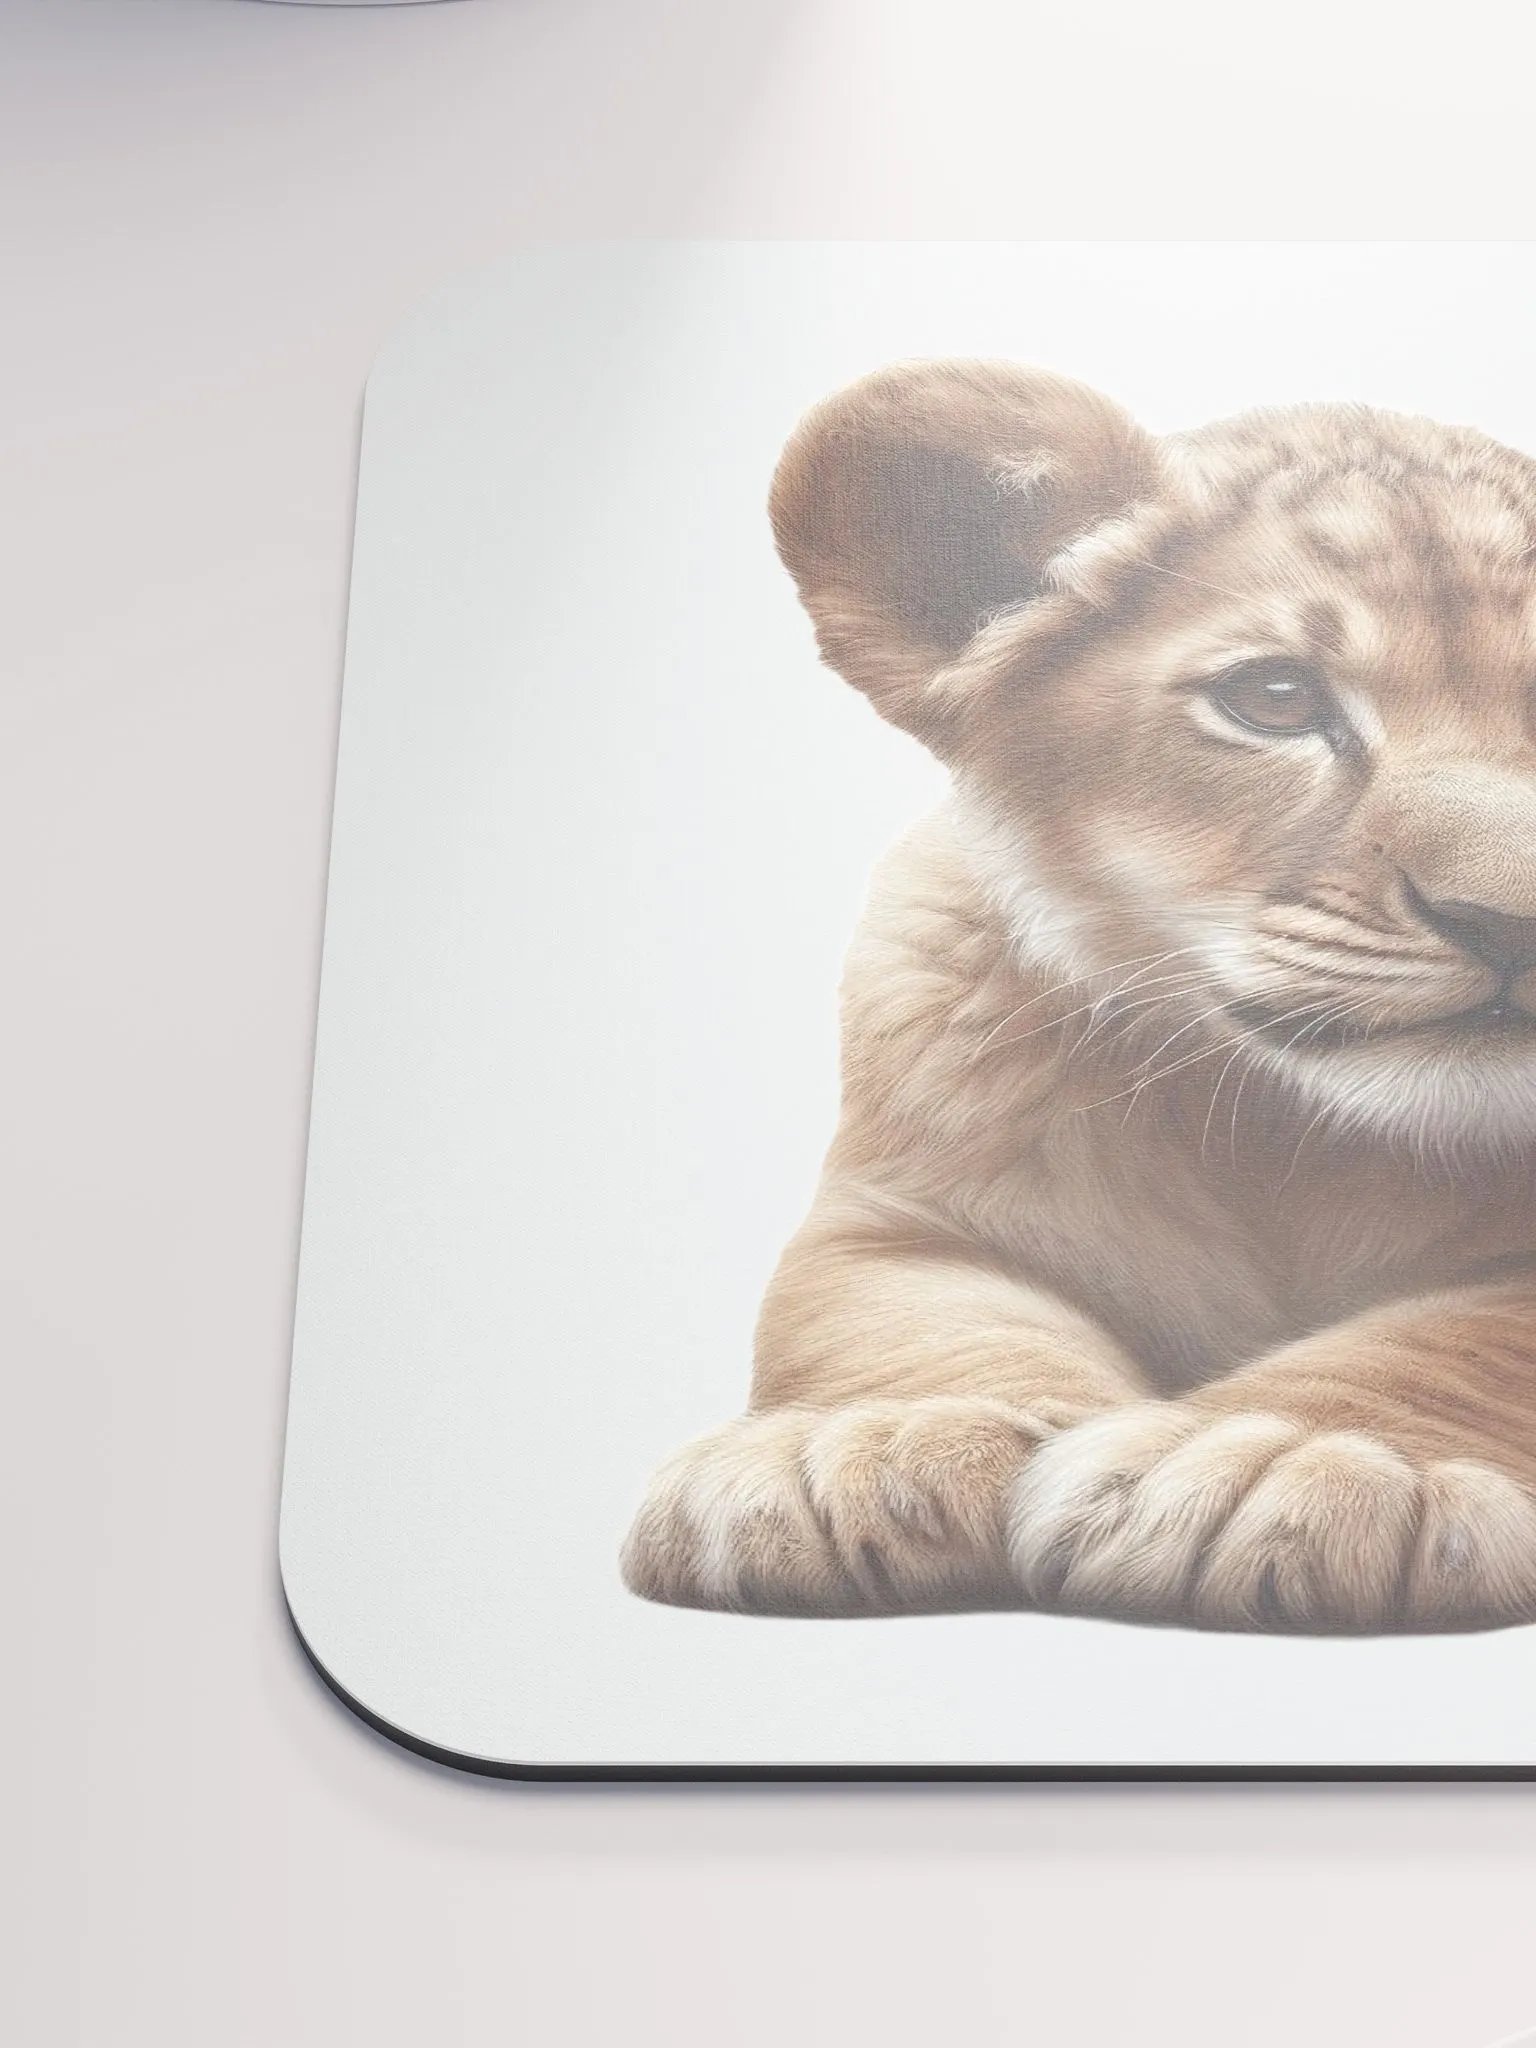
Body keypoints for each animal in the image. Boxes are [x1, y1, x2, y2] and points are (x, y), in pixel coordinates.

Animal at [620, 358, 1536, 1634]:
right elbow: (900, 1316)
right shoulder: (901, 1213)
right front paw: (851, 1447)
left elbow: (1463, 1336)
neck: (1289, 1147)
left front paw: (1285, 1461)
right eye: (1274, 697)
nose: (1509, 922)